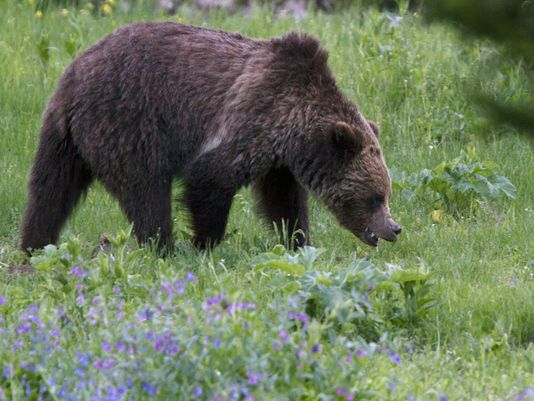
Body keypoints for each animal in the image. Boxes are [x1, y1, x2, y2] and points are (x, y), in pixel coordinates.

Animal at [21, 21, 402, 250]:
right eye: (375, 197)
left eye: (385, 193)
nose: (394, 228)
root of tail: (72, 77)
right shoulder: (253, 115)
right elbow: (210, 177)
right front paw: (206, 243)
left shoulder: (278, 158)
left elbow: (283, 199)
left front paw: (297, 240)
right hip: (127, 122)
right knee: (146, 191)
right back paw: (163, 246)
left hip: (64, 140)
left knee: (50, 191)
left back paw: (34, 245)